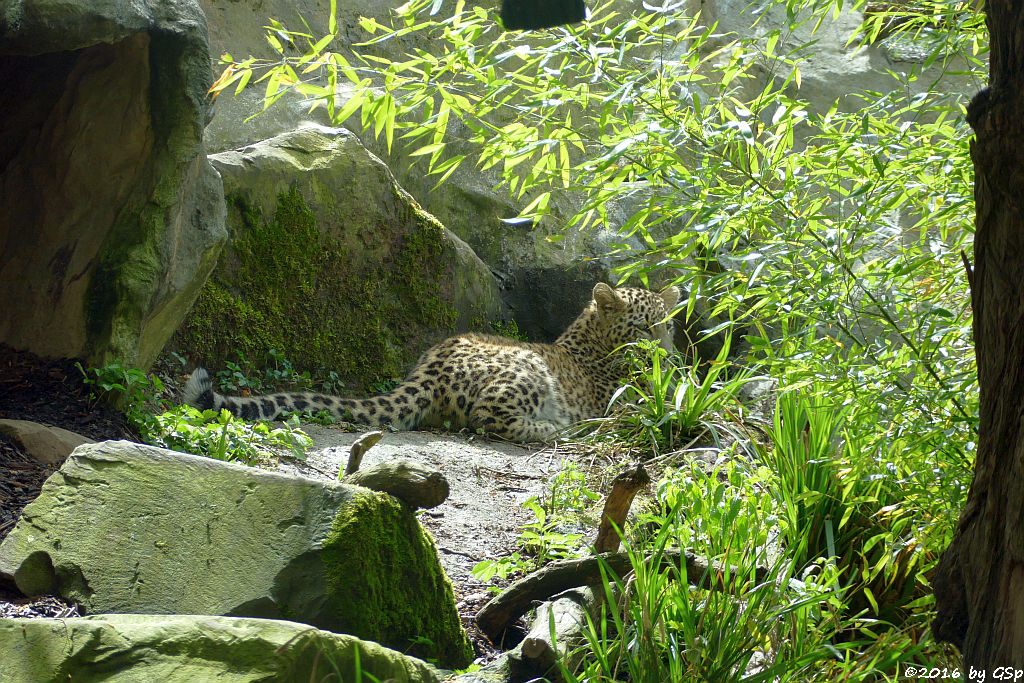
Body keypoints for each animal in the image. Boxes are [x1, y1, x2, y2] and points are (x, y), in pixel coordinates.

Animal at [184, 282, 679, 444]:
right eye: (642, 330)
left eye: (668, 327)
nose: (670, 357)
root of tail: (427, 369)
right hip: (523, 370)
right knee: (488, 417)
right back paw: (563, 429)